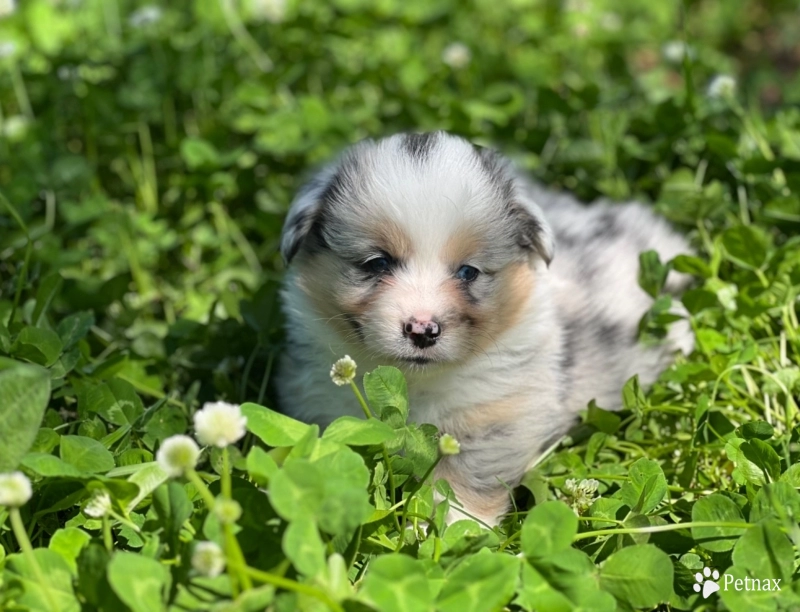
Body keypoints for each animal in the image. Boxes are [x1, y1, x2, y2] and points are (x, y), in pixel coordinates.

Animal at [278, 133, 692, 524]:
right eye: (378, 263)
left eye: (468, 272)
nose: (422, 329)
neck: (416, 383)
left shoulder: (496, 412)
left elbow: (462, 480)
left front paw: (455, 529)